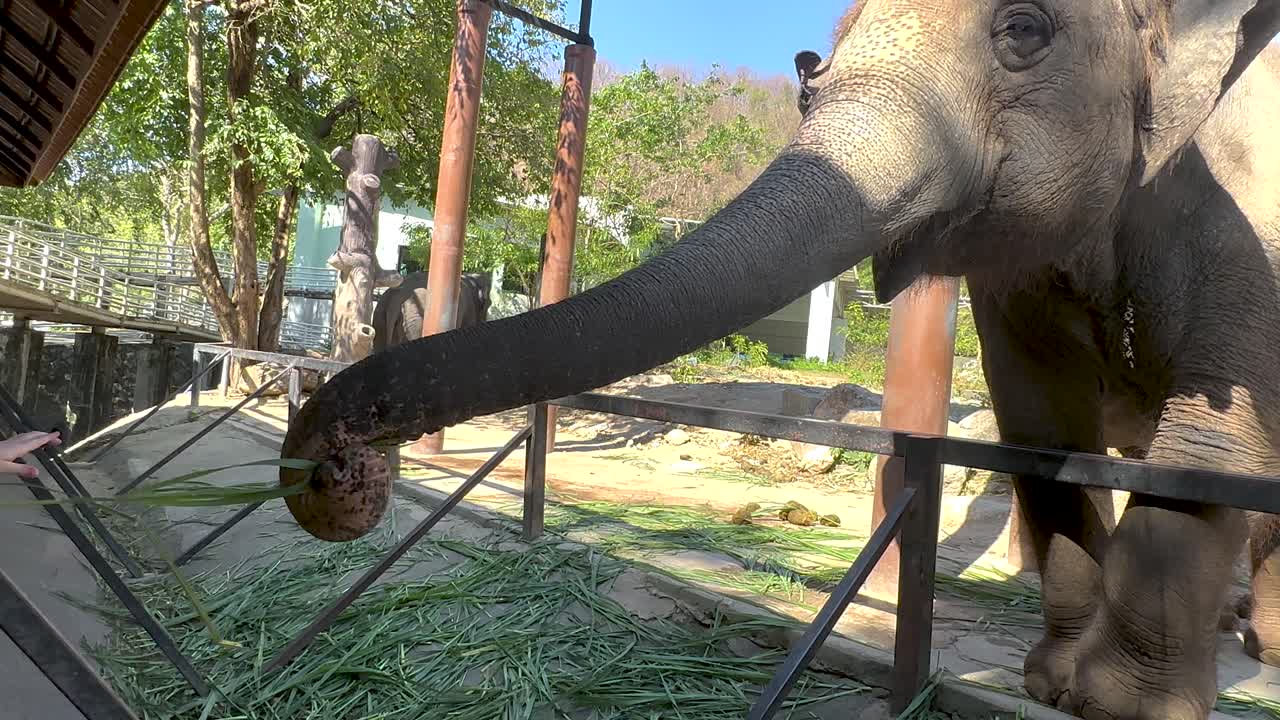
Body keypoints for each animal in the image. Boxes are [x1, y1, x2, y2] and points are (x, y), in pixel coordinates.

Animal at [280, 1, 1280, 718]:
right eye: (811, 72)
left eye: (1025, 30)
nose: (335, 456)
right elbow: (1040, 437)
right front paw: (1051, 686)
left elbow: (1209, 447)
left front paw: (1118, 709)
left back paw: (1260, 645)